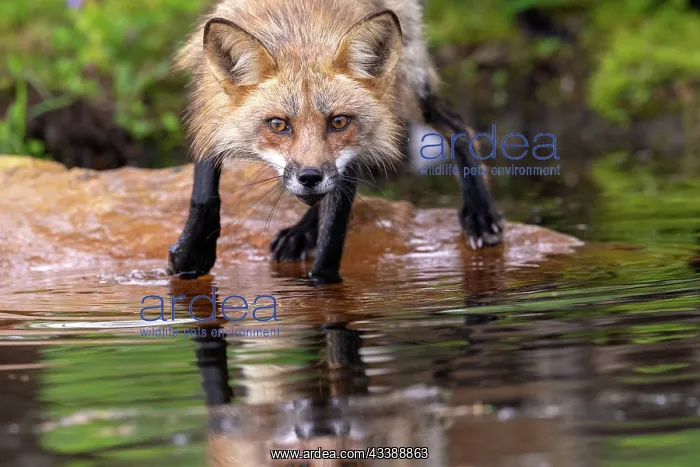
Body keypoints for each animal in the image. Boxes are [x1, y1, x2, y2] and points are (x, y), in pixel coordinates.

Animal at [167, 0, 504, 284]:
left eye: (339, 122)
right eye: (278, 125)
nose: (310, 177)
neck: (299, 33)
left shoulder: (351, 153)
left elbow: (333, 235)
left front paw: (322, 286)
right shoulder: (211, 110)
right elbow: (204, 195)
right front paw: (192, 254)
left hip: (409, 87)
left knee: (459, 126)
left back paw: (480, 214)